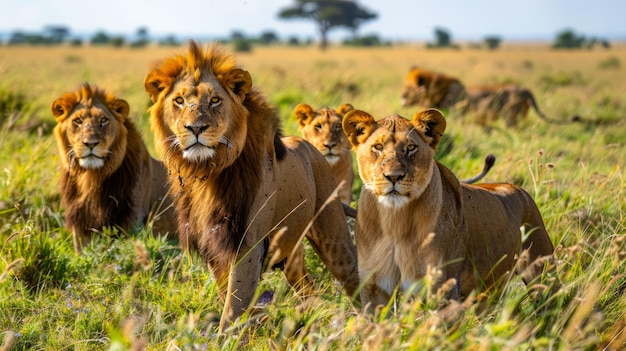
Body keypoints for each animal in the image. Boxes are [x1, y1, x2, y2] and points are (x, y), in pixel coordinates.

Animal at [51, 82, 176, 253]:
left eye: (104, 120)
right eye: (77, 121)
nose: (90, 143)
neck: (91, 178)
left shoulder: (131, 220)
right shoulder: (80, 226)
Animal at [141, 41, 356, 332]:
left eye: (215, 100)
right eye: (179, 101)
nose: (195, 128)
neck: (206, 173)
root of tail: (311, 147)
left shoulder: (247, 243)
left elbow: (233, 305)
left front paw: (227, 336)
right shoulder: (213, 245)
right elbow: (231, 298)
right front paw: (252, 328)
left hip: (334, 237)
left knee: (356, 278)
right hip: (290, 252)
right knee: (307, 287)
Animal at [342, 108, 556, 310]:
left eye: (411, 148)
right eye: (377, 147)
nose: (393, 177)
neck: (395, 220)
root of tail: (519, 189)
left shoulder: (442, 288)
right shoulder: (374, 287)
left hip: (542, 273)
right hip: (490, 291)